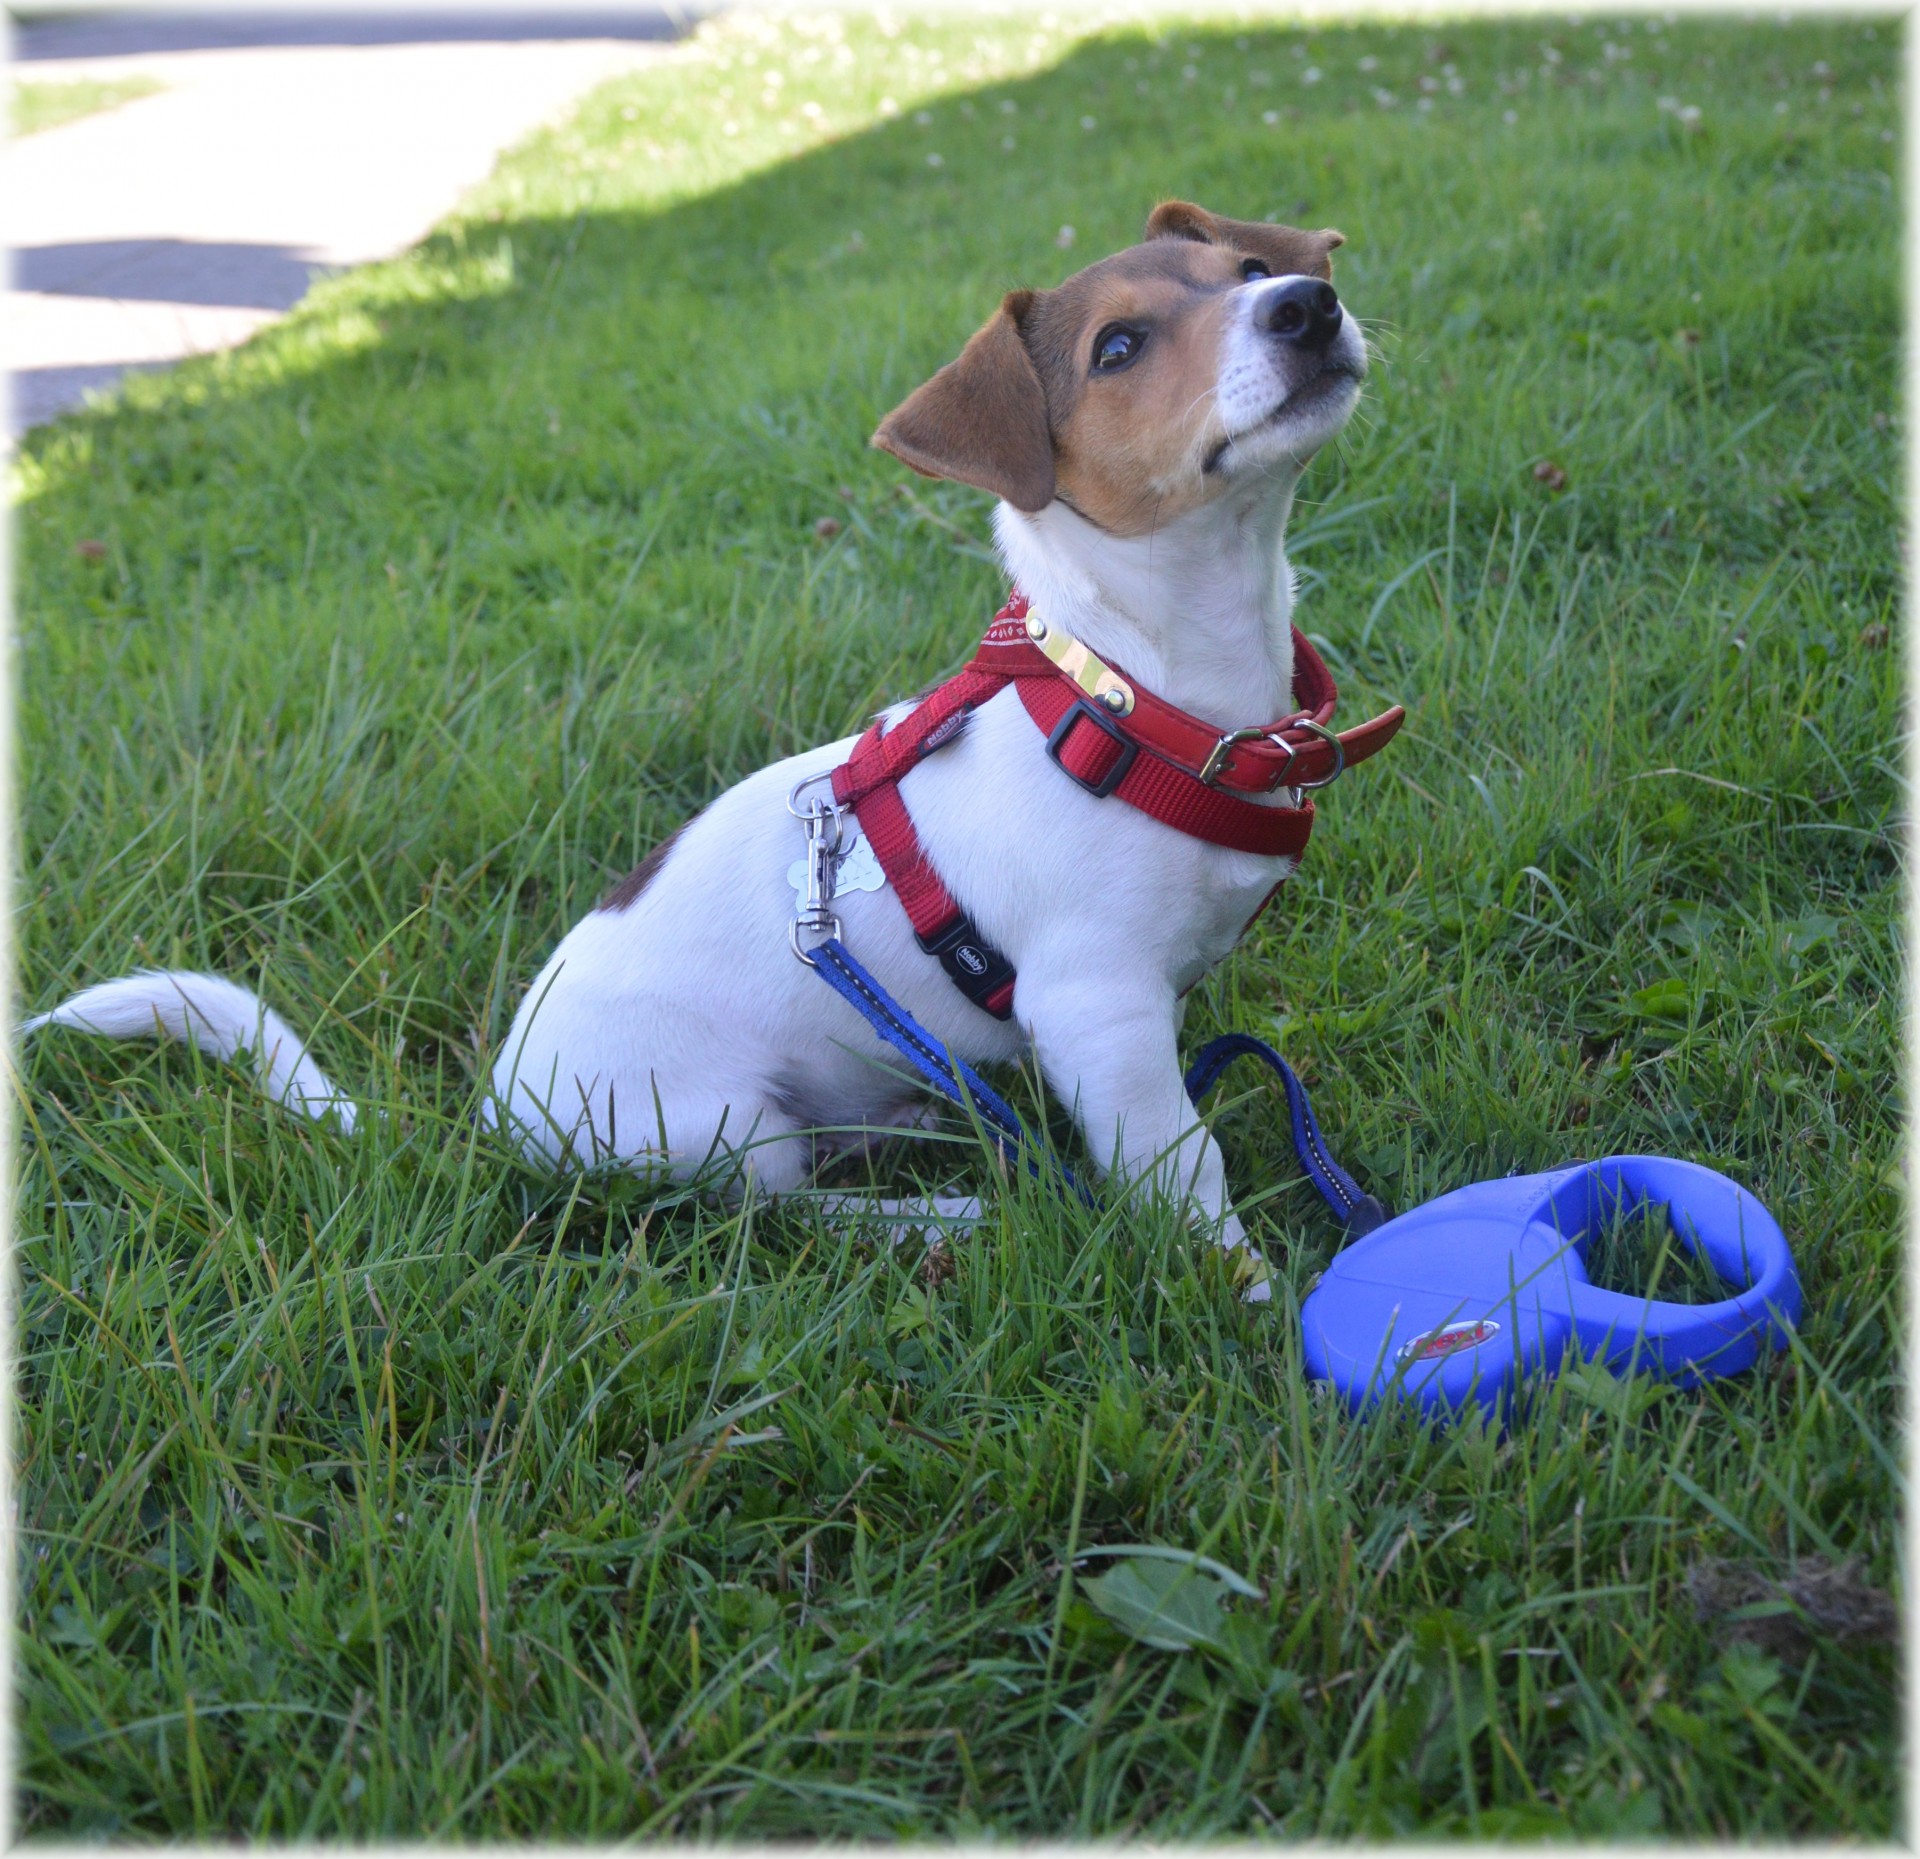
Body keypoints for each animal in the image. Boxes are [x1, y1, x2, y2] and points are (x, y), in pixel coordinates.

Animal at [26, 203, 1397, 1298]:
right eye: (1117, 348)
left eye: (1243, 268)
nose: (1307, 302)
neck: (1134, 692)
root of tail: (493, 1109)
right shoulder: (1097, 1012)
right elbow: (1185, 1164)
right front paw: (1250, 1297)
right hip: (717, 1124)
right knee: (767, 1212)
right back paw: (937, 1207)